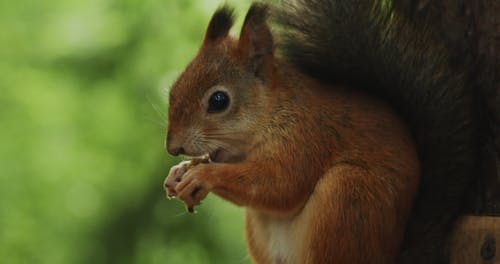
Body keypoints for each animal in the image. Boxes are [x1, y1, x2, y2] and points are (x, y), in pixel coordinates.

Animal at [164, 1, 488, 262]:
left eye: (219, 100)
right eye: (174, 87)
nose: (172, 147)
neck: (273, 112)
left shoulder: (307, 137)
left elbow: (278, 184)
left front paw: (203, 175)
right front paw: (178, 173)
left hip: (347, 197)